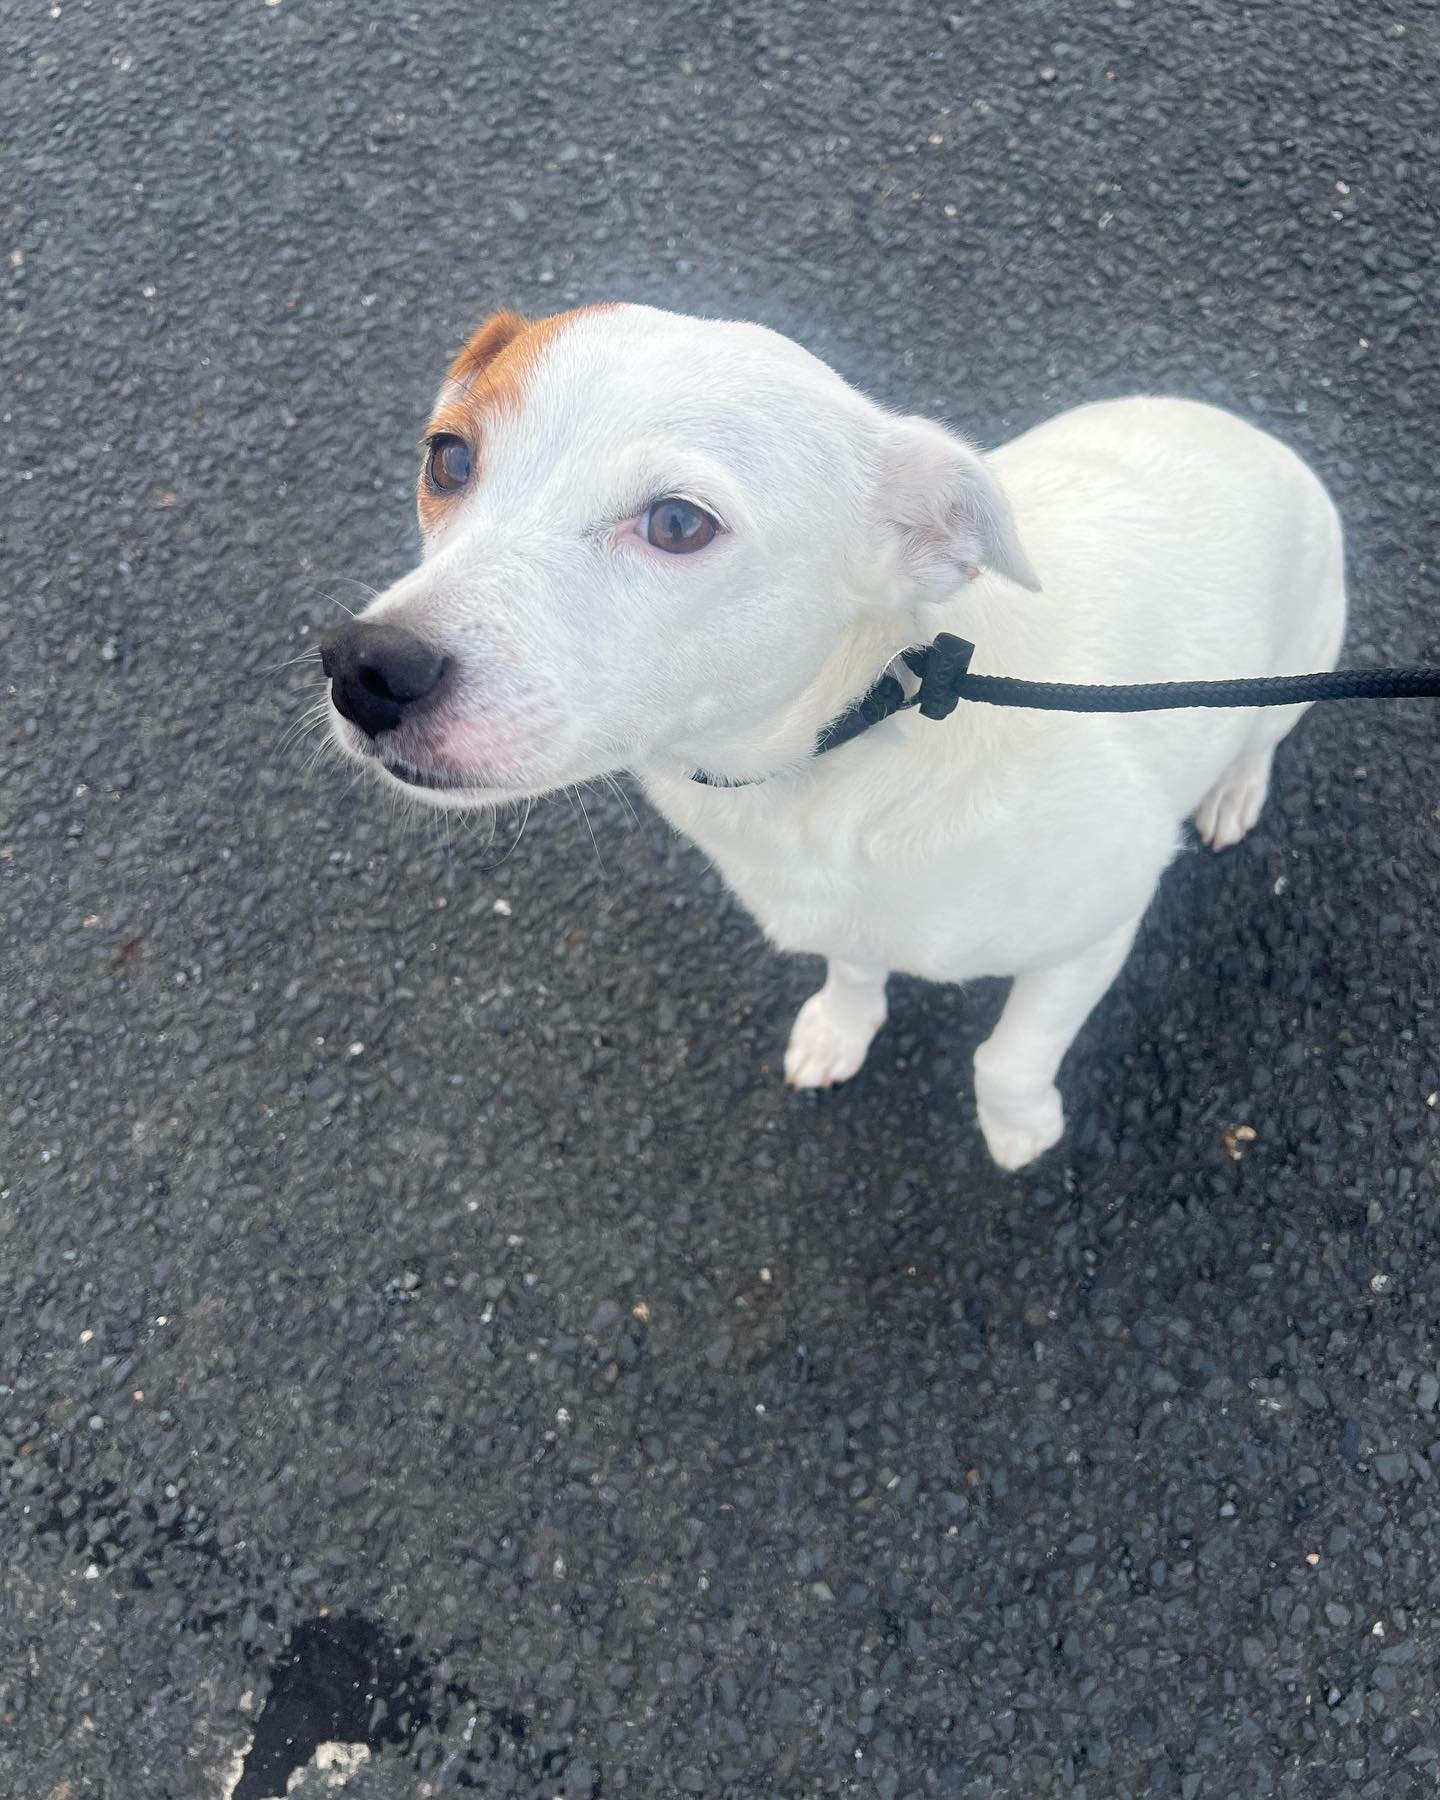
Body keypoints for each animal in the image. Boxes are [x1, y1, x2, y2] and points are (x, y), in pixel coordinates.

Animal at [319, 305, 1346, 1169]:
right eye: (449, 459)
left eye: (679, 523)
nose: (364, 666)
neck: (850, 741)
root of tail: (1244, 428)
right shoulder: (843, 910)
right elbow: (855, 970)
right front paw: (839, 1028)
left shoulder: (1102, 921)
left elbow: (1008, 1057)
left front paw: (1020, 1129)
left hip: (1300, 665)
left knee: (1262, 735)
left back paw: (1234, 789)